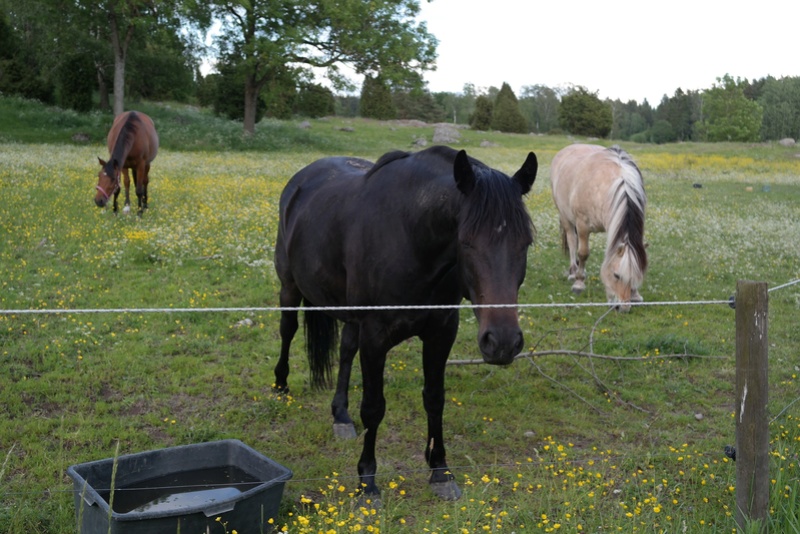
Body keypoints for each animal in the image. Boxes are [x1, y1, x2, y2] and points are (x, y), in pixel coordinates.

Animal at [274, 146, 536, 502]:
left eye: (526, 243)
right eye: (466, 241)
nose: (503, 342)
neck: (411, 237)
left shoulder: (441, 332)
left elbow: (435, 398)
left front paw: (440, 471)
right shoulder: (375, 337)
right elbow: (373, 407)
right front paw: (367, 481)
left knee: (345, 350)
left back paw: (340, 415)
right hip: (289, 287)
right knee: (287, 331)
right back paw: (280, 387)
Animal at [552, 144, 648, 312]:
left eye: (637, 277)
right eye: (616, 275)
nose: (623, 308)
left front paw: (636, 294)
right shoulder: (582, 225)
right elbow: (583, 253)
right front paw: (579, 283)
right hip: (566, 218)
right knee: (572, 241)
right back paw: (573, 272)